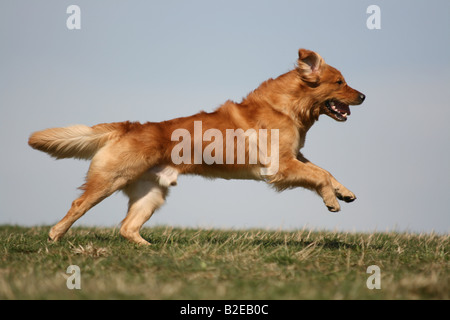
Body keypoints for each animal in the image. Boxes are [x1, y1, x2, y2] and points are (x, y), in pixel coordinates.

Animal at [28, 48, 366, 245]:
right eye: (340, 82)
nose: (363, 96)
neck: (289, 106)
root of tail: (130, 125)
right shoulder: (280, 165)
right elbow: (319, 175)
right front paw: (331, 200)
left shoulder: (295, 156)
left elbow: (324, 170)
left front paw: (345, 192)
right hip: (110, 179)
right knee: (78, 205)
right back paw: (55, 235)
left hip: (151, 193)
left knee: (127, 227)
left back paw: (150, 249)